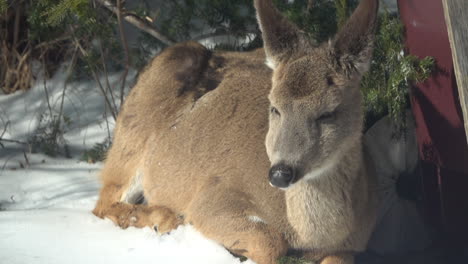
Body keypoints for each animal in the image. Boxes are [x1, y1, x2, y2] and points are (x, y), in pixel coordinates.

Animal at [92, 0, 380, 262]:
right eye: (274, 107)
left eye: (328, 113)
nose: (280, 173)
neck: (309, 235)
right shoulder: (214, 196)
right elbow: (270, 242)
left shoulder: (350, 246)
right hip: (135, 132)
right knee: (103, 202)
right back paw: (165, 218)